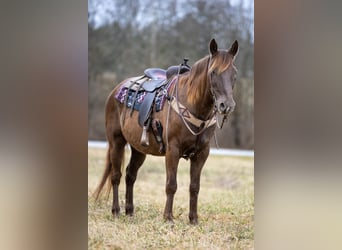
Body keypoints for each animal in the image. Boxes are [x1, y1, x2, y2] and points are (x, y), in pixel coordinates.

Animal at [93, 38, 238, 225]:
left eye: (234, 74)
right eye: (213, 72)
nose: (226, 105)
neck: (193, 104)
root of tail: (115, 91)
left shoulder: (202, 154)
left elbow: (194, 187)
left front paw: (193, 219)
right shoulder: (172, 150)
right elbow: (171, 185)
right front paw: (168, 217)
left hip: (139, 149)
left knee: (130, 175)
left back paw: (130, 211)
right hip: (116, 142)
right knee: (116, 176)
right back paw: (116, 211)